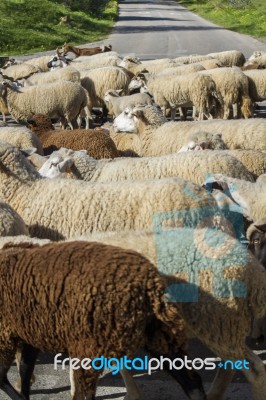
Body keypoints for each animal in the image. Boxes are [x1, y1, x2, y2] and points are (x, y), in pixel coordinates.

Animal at [0, 241, 207, 400]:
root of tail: (149, 288)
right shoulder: (27, 334)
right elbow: (25, 372)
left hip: (89, 346)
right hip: (163, 337)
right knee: (192, 382)